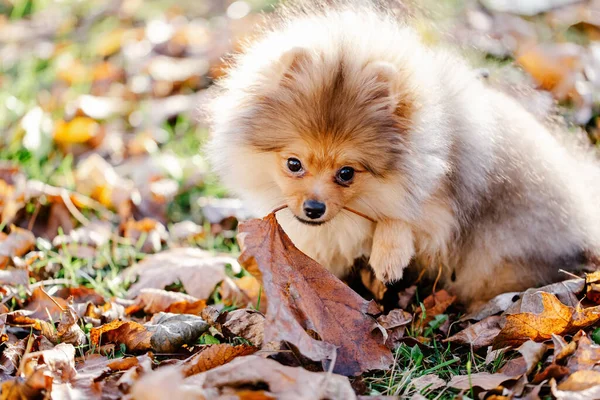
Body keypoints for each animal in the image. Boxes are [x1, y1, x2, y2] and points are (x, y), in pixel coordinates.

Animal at [209, 0, 600, 306]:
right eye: (294, 164)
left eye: (347, 173)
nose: (314, 208)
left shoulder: (444, 197)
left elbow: (406, 215)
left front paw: (388, 255)